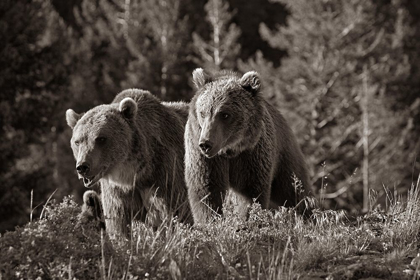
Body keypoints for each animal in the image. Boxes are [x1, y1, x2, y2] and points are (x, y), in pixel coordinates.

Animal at [66, 89, 193, 236]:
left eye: (101, 138)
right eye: (77, 141)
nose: (83, 167)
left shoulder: (165, 176)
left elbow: (177, 213)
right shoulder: (117, 192)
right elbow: (119, 224)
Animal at [185, 68, 312, 223]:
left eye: (225, 114)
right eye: (203, 113)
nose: (206, 144)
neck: (229, 150)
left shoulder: (251, 155)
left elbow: (250, 194)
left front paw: (246, 220)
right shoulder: (205, 159)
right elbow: (206, 192)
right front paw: (209, 221)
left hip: (284, 155)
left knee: (294, 189)